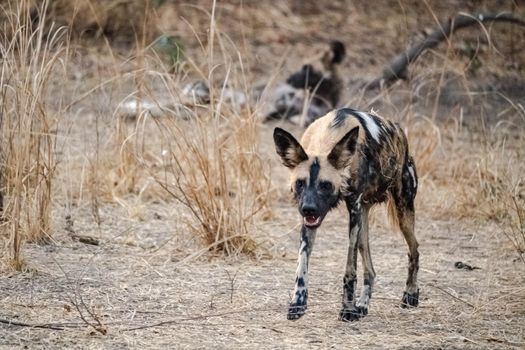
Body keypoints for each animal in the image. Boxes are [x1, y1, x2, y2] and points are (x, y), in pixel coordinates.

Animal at [274, 108, 418, 322]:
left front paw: (348, 309)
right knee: (370, 270)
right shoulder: (309, 222)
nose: (309, 209)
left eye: (325, 185)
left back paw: (410, 294)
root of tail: (399, 130)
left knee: (414, 249)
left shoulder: (354, 208)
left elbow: (350, 268)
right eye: (300, 183)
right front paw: (298, 303)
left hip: (402, 212)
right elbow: (302, 264)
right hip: (364, 223)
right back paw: (363, 305)